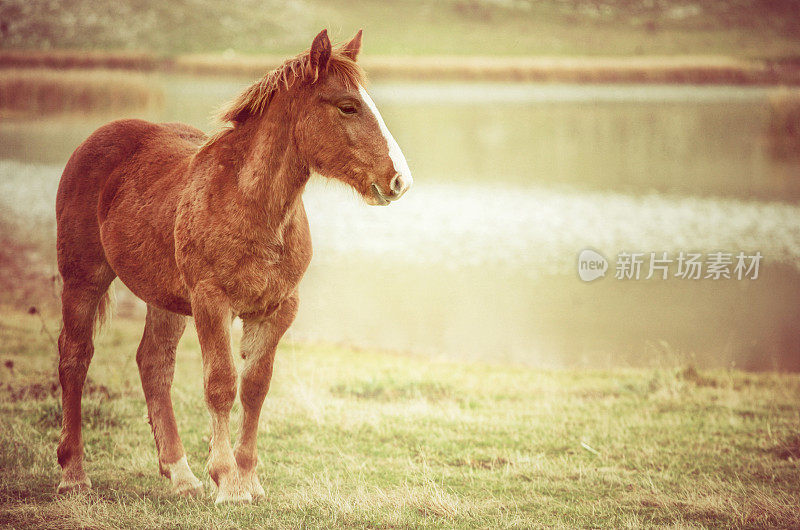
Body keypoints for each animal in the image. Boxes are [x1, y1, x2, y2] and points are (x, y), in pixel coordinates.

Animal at [54, 29, 412, 504]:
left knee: (154, 365)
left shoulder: (276, 309)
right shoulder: (211, 301)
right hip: (84, 278)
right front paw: (226, 480)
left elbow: (254, 389)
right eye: (347, 106)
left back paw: (181, 475)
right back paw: (74, 474)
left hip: (164, 299)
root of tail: (94, 140)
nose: (399, 180)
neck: (250, 203)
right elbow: (221, 384)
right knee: (75, 357)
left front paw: (248, 478)